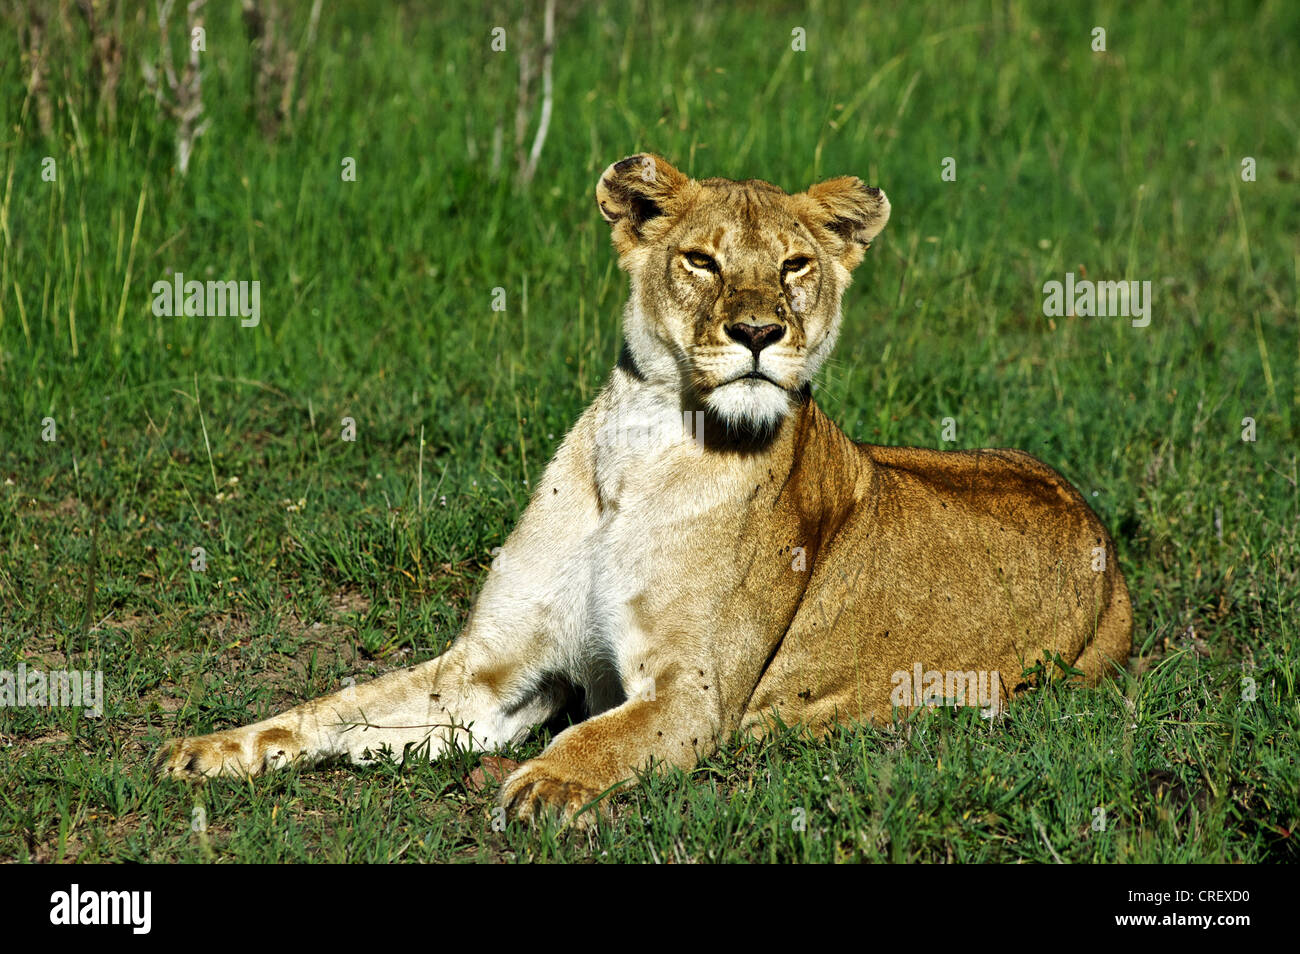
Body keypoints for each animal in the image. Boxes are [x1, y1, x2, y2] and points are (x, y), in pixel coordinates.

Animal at [156, 154, 1133, 825]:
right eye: (701, 260)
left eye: (795, 267)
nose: (757, 332)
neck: (644, 448)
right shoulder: (486, 674)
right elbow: (335, 708)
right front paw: (210, 749)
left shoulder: (693, 695)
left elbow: (594, 734)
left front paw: (542, 784)